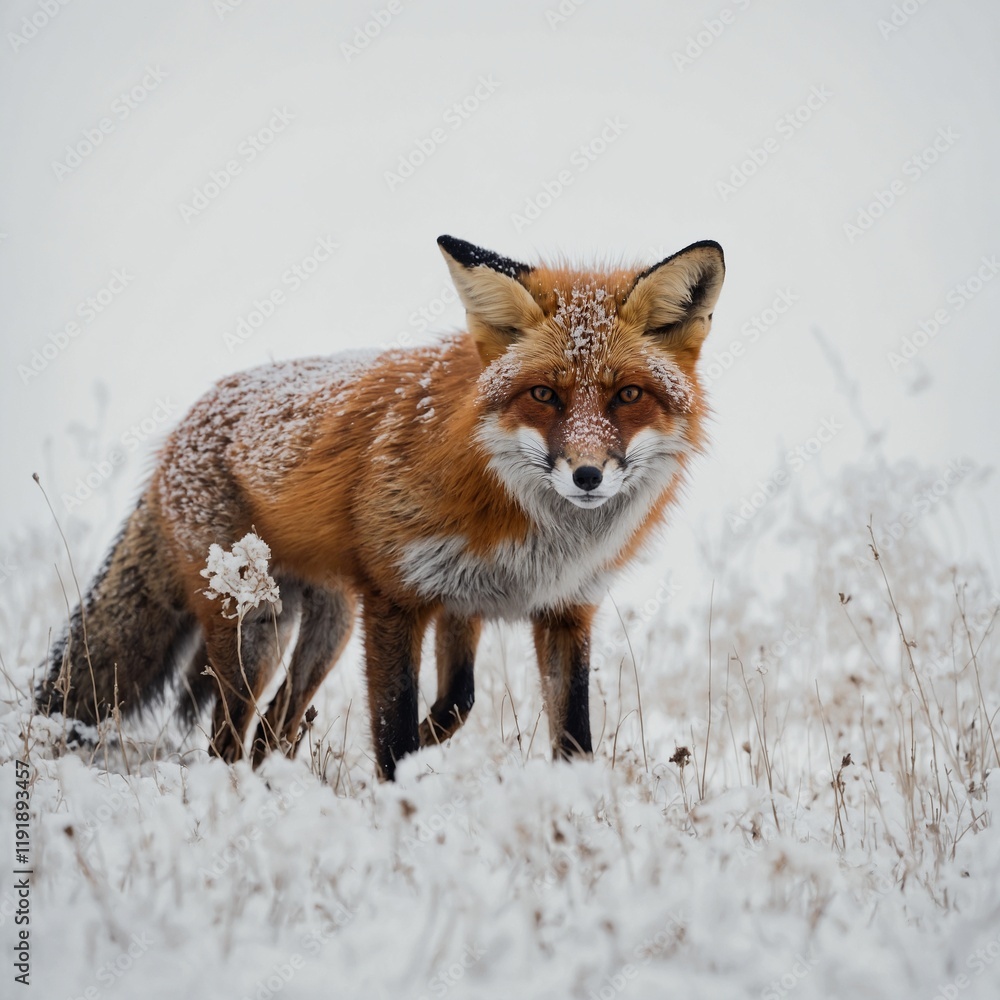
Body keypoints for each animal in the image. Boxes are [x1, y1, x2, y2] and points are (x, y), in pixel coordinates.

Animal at [37, 235, 725, 780]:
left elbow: (505, 716)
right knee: (228, 737)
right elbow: (394, 729)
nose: (586, 475)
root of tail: (182, 427)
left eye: (628, 395)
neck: (537, 531)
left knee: (274, 724)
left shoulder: (543, 608)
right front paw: (402, 805)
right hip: (254, 628)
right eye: (543, 395)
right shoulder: (398, 598)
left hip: (330, 626)